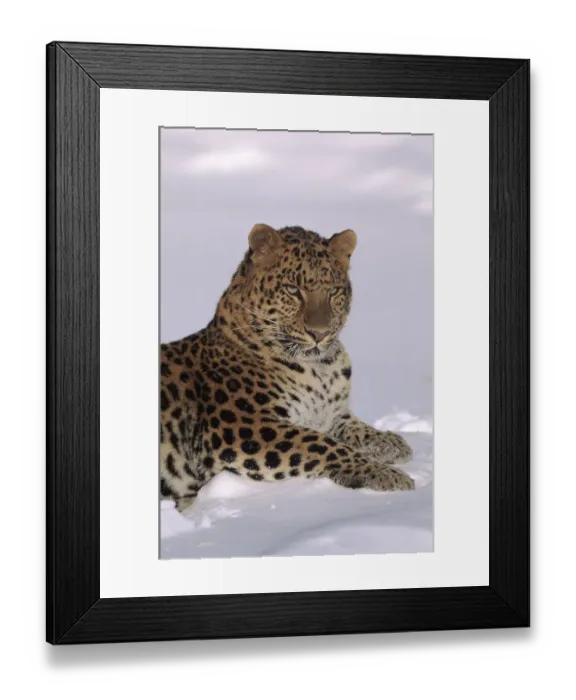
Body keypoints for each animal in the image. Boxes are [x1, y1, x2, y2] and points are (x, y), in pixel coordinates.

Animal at [160, 223, 415, 514]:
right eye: (293, 290)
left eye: (334, 292)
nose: (320, 333)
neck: (320, 368)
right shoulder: (247, 426)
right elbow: (323, 445)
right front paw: (383, 473)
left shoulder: (328, 413)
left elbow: (353, 427)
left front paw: (390, 443)